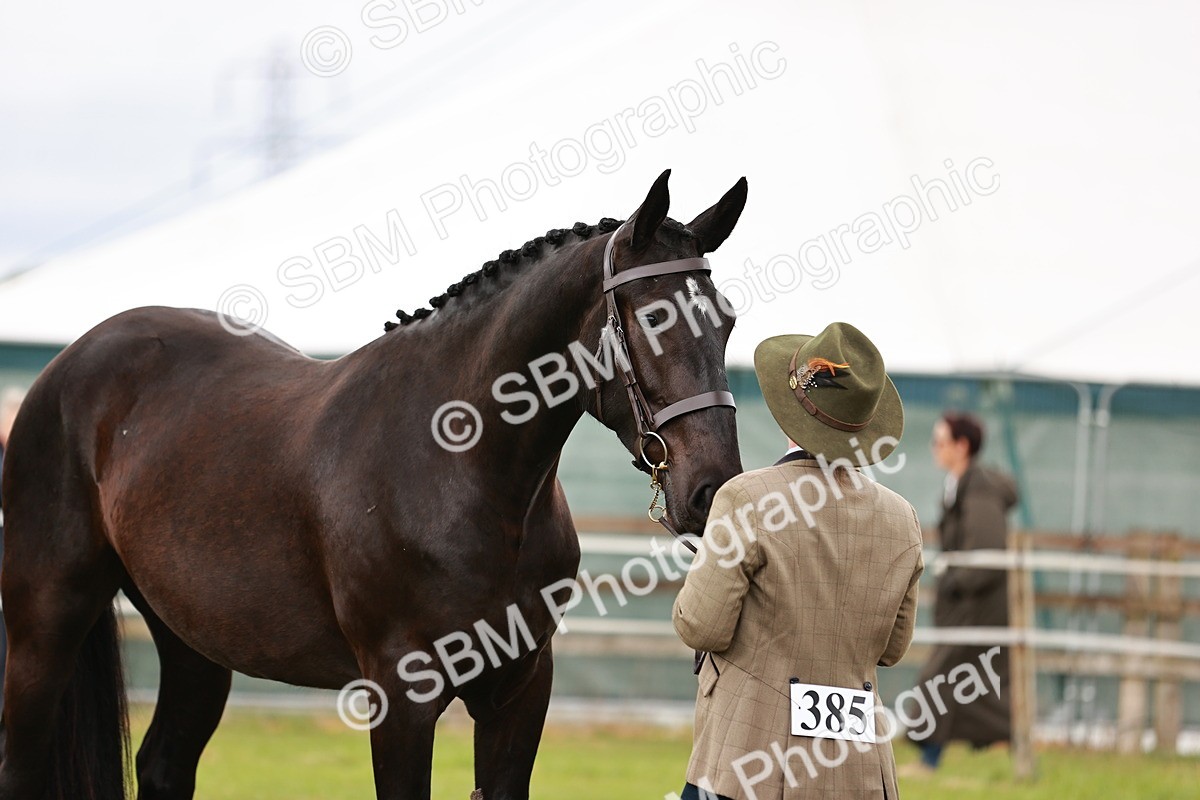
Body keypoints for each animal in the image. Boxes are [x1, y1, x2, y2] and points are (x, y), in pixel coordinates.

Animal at [0, 169, 747, 800]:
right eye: (652, 319)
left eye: (728, 319)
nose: (712, 490)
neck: (464, 473)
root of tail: (71, 363)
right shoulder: (402, 697)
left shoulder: (520, 689)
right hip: (44, 625)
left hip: (191, 640)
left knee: (163, 764)